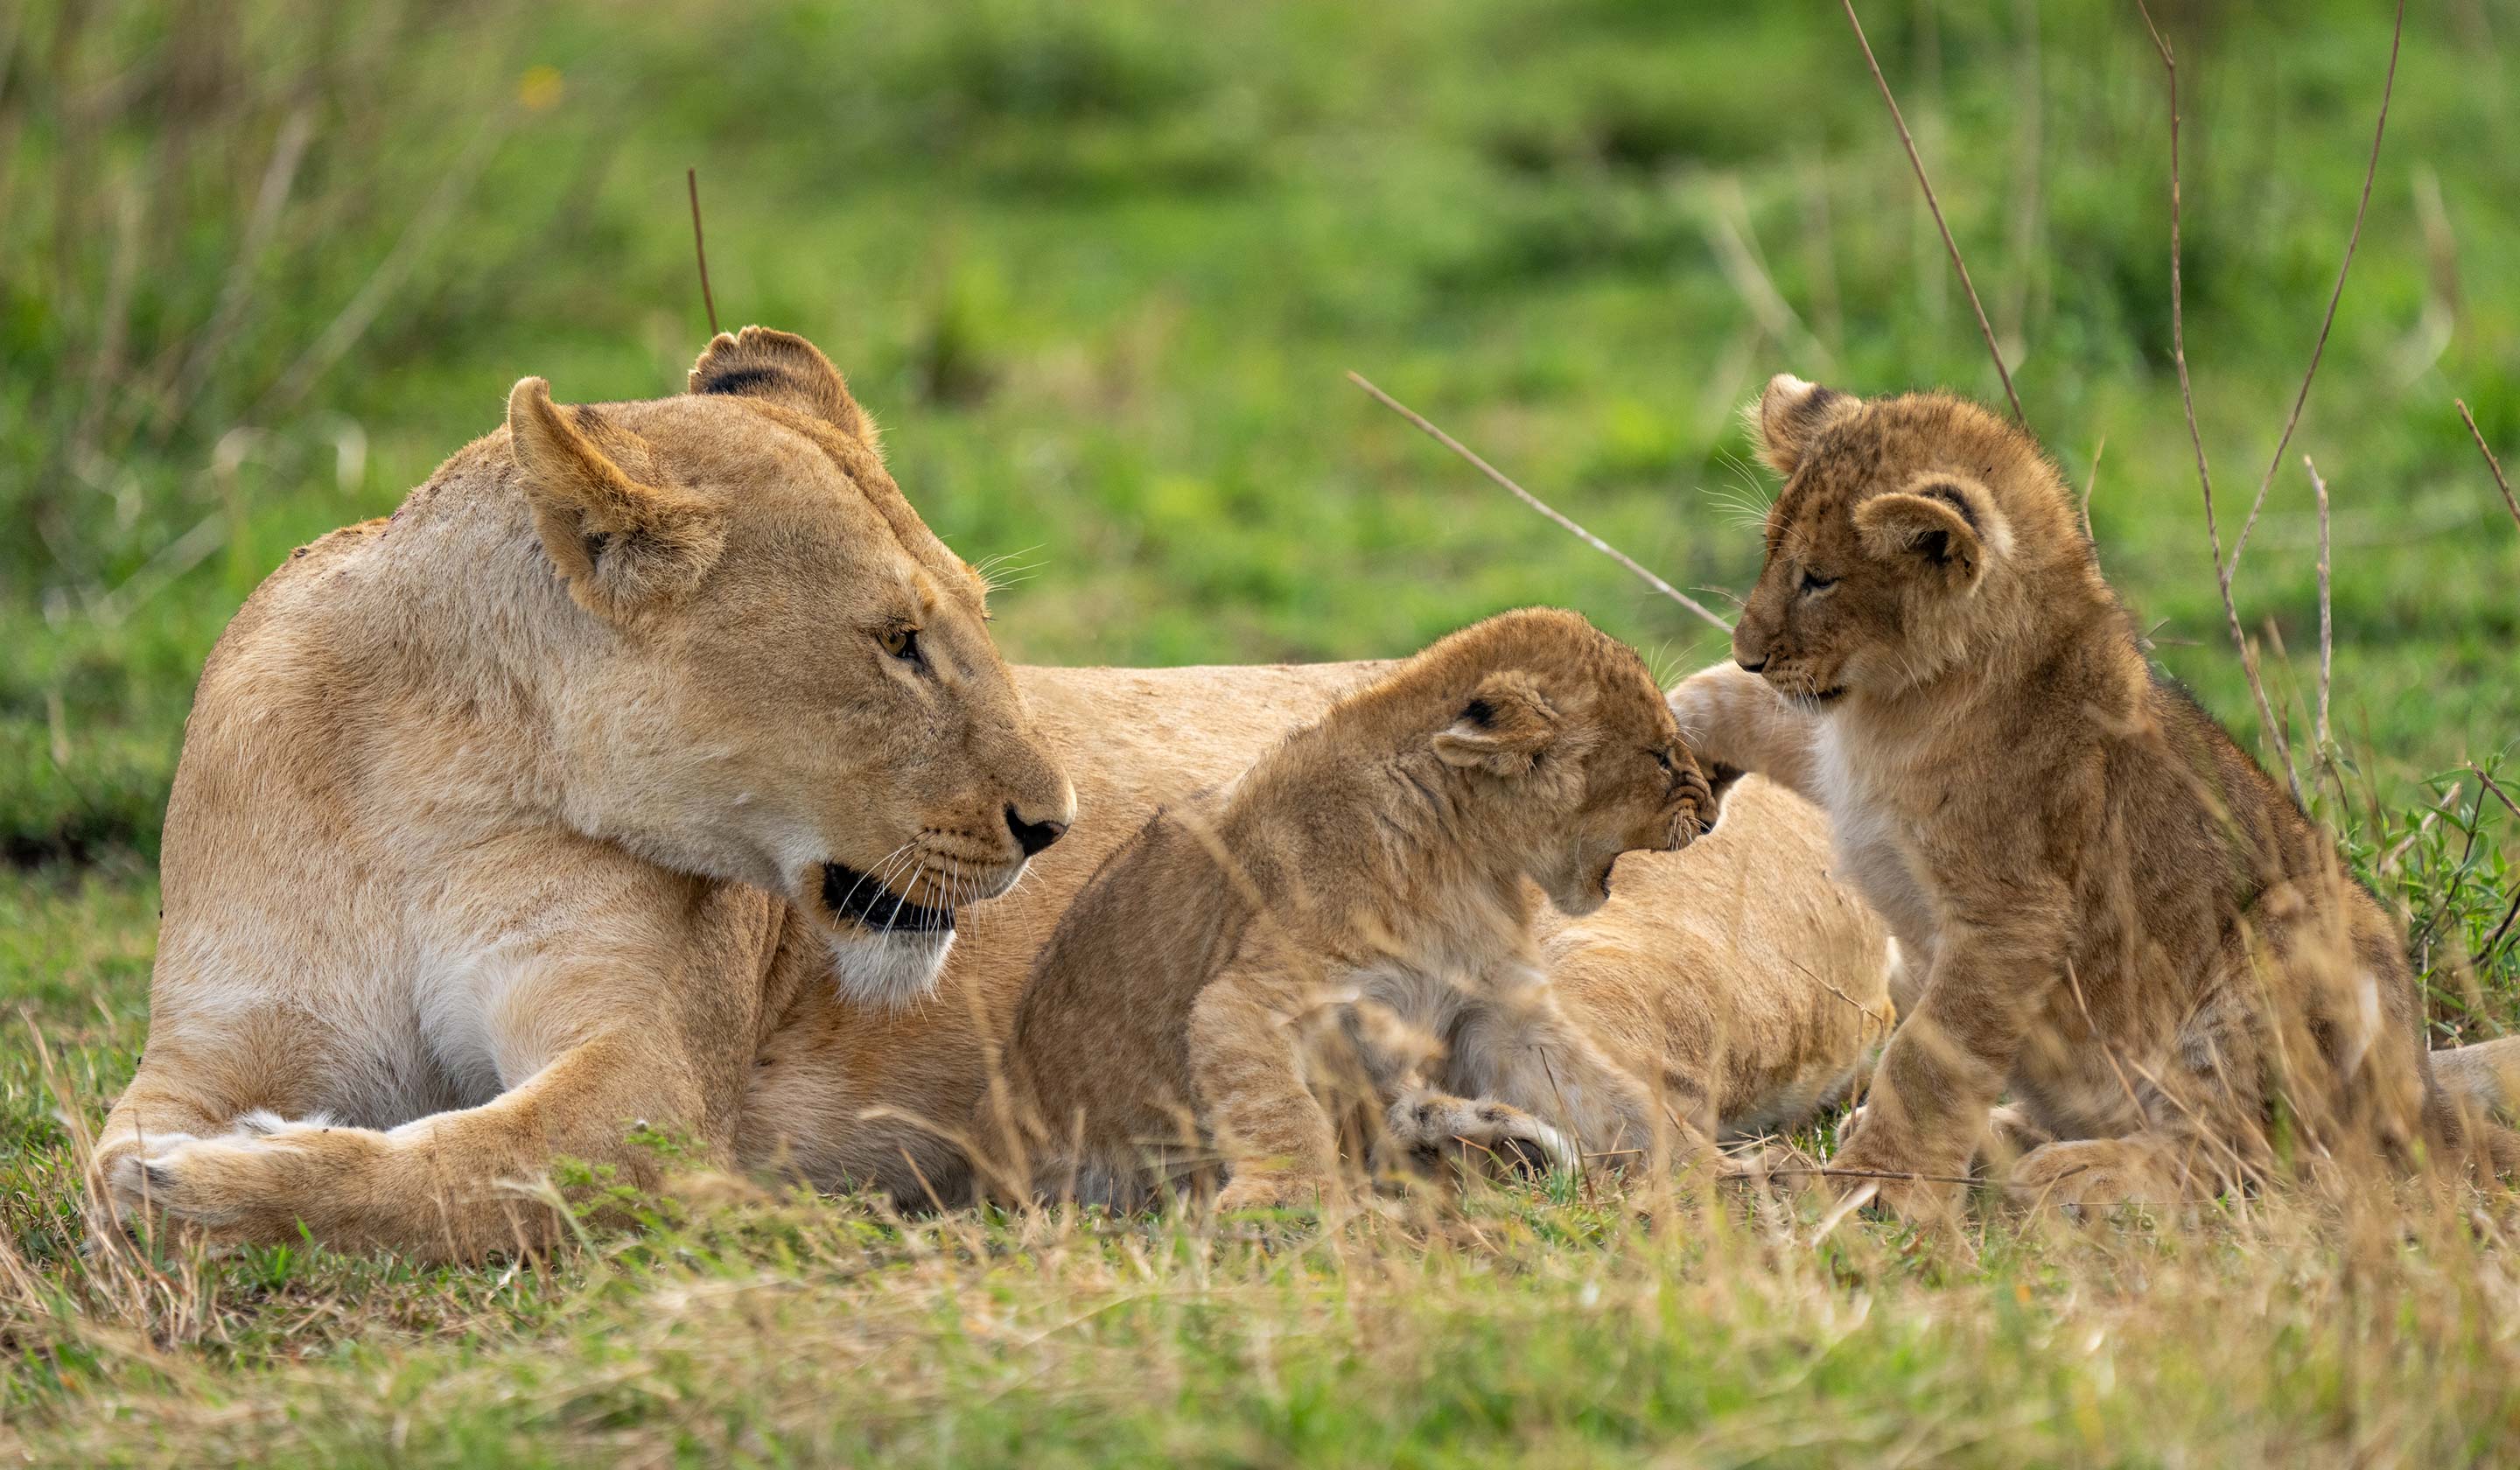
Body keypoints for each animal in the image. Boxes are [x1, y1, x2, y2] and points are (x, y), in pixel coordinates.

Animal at [96, 328, 1075, 1259]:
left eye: (980, 617)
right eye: (899, 641)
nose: (1053, 825)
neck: (429, 781)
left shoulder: (653, 1087)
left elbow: (455, 1172)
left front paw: (208, 1186)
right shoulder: (205, 1045)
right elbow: (108, 1168)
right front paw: (174, 1182)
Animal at [1667, 373, 2519, 1220]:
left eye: (1818, 578)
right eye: (1772, 558)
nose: (1749, 652)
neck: (1904, 701)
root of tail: (2428, 1099)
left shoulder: (2012, 915)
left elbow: (1928, 1060)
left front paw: (1870, 1183)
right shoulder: (1834, 749)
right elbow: (1723, 703)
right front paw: (1658, 743)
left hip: (2284, 949)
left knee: (2256, 1156)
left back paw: (2075, 1171)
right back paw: (2003, 1138)